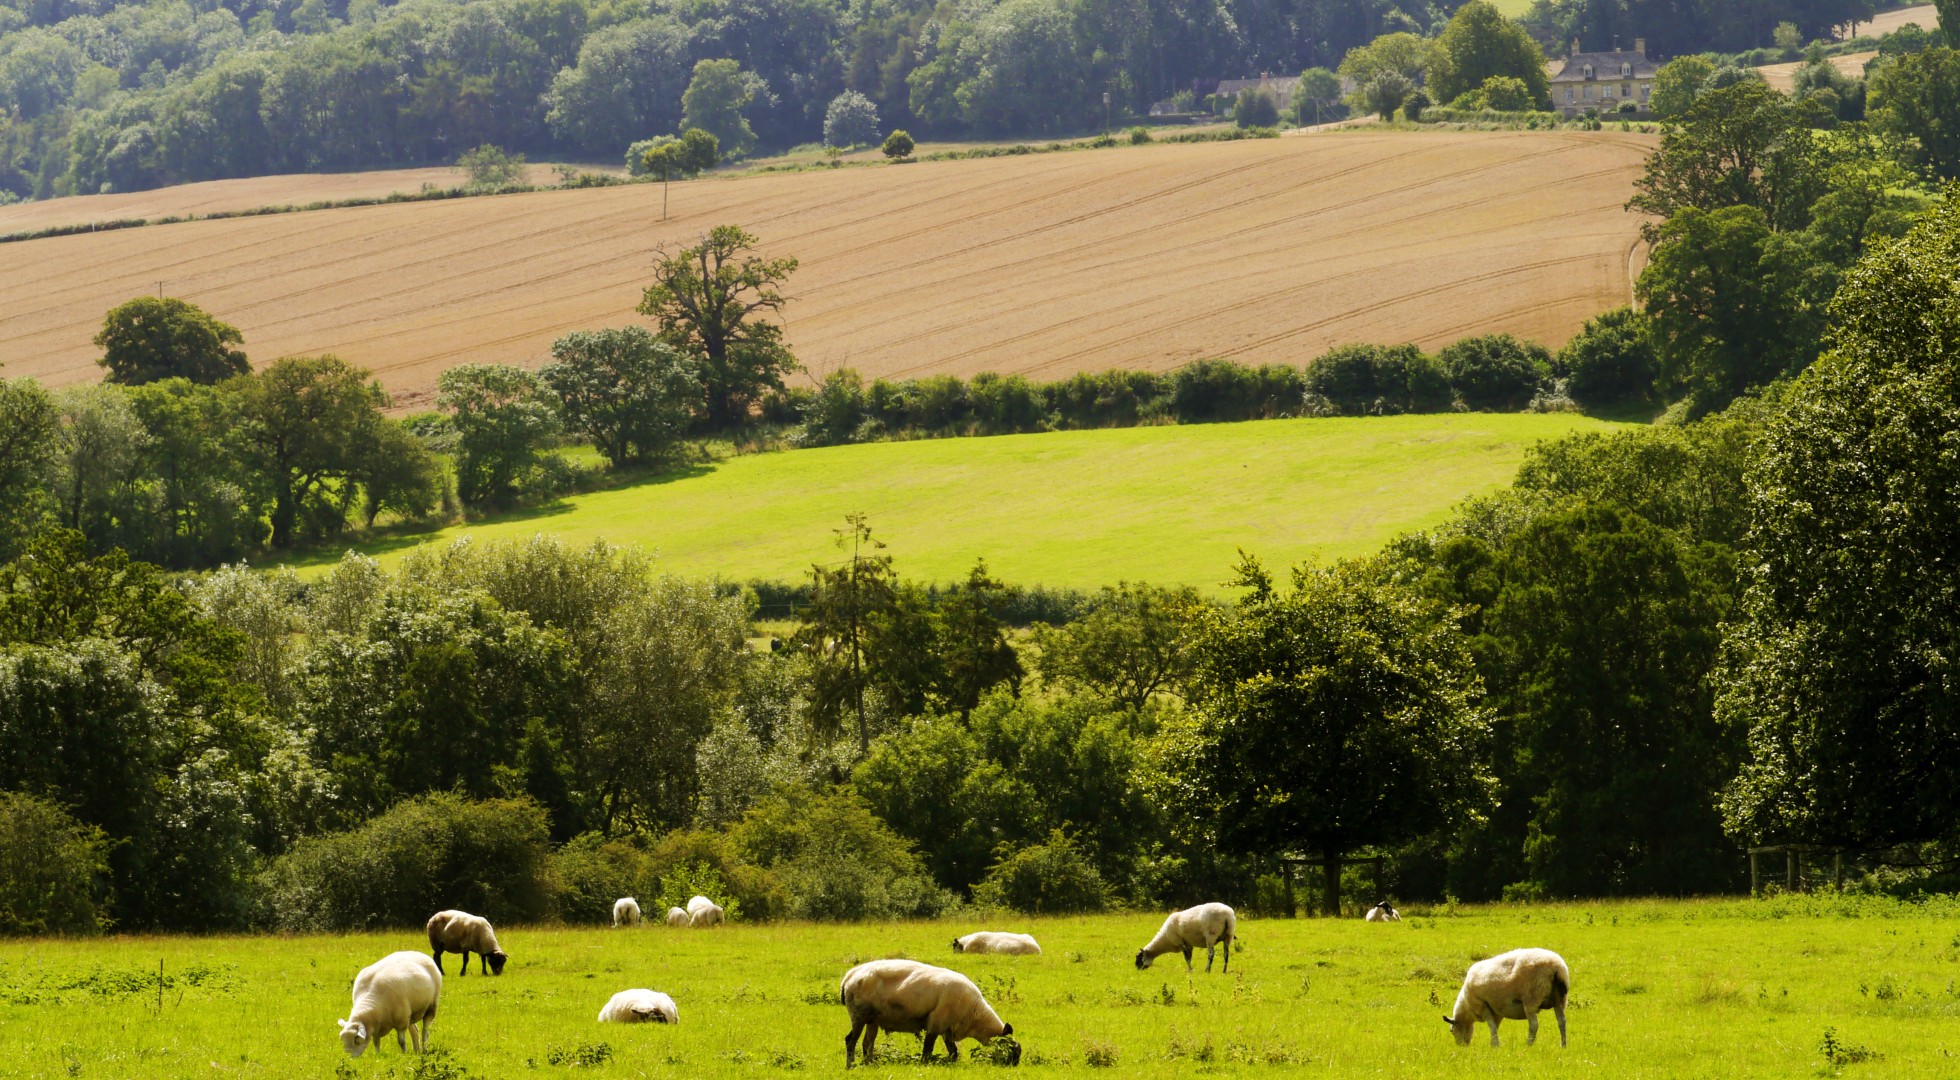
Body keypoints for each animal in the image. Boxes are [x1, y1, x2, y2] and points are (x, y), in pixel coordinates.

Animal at [840, 959, 1019, 1067]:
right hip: (858, 1015)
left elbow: (953, 1051)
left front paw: (951, 1064)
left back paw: (869, 1064)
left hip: (872, 1020)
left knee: (867, 1043)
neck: (975, 1016)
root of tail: (849, 976)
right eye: (1011, 1049)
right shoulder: (936, 1022)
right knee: (850, 1040)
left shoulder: (947, 1027)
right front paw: (924, 1064)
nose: (1014, 1066)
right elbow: (928, 1048)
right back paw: (851, 1065)